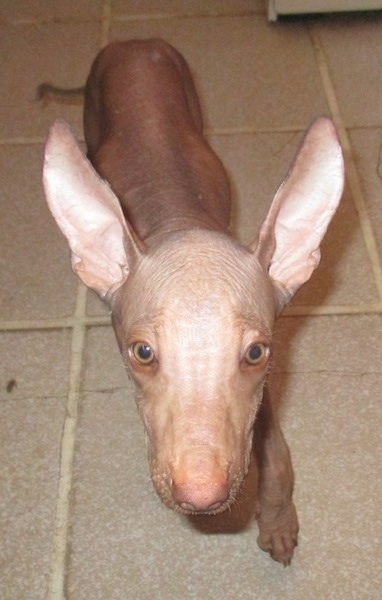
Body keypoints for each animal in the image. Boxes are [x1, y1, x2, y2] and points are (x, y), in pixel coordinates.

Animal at [41, 39, 344, 564]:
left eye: (256, 352)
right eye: (142, 352)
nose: (201, 495)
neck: (179, 219)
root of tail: (132, 42)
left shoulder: (261, 394)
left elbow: (274, 450)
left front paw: (277, 519)